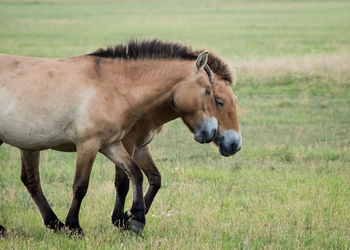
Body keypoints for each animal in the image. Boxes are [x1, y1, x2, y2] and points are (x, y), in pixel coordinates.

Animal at [0, 39, 241, 236]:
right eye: (213, 96)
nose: (234, 144)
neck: (110, 86)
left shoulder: (114, 144)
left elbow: (138, 175)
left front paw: (134, 219)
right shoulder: (90, 144)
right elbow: (84, 185)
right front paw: (76, 226)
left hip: (28, 143)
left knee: (31, 180)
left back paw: (46, 224)